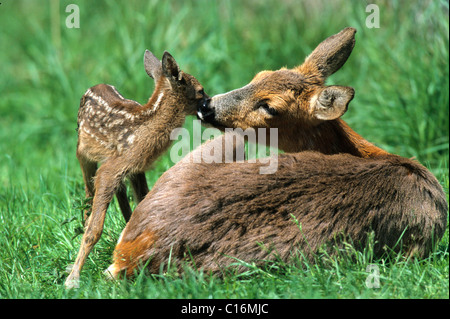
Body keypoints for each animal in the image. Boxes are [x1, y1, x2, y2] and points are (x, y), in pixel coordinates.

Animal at [64, 50, 208, 290]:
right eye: (200, 90)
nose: (209, 104)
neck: (143, 130)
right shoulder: (110, 169)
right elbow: (94, 229)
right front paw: (72, 279)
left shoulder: (136, 167)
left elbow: (143, 203)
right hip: (82, 152)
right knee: (87, 196)